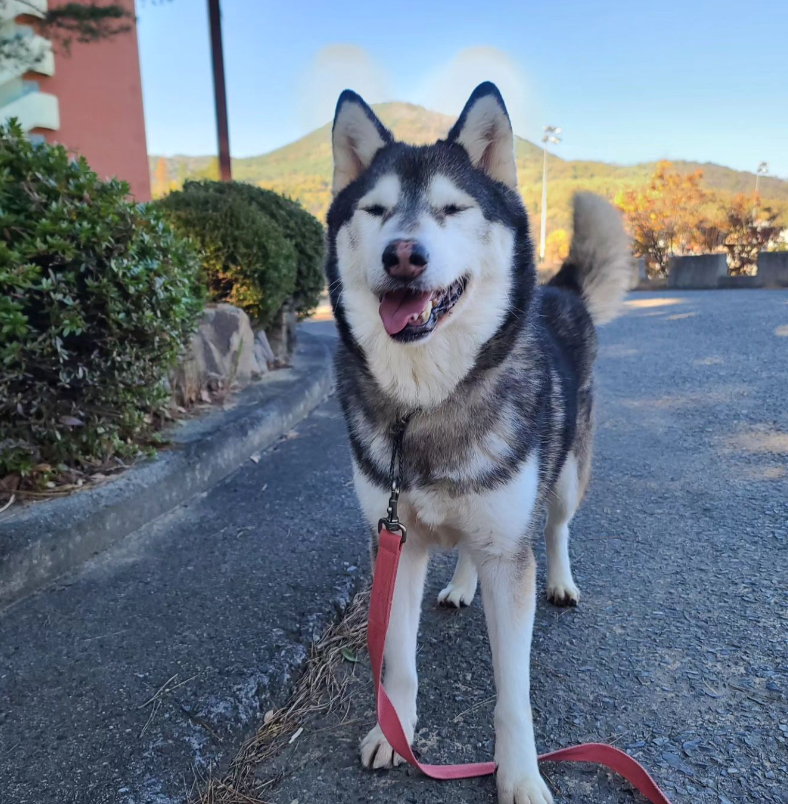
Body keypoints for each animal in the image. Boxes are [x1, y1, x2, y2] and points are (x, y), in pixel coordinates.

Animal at [324, 83, 628, 804]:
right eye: (376, 209)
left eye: (453, 208)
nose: (403, 254)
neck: (426, 402)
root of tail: (561, 290)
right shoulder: (396, 543)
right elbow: (398, 662)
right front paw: (394, 732)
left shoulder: (509, 553)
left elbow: (512, 691)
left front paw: (519, 774)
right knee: (466, 547)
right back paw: (462, 585)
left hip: (565, 474)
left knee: (557, 525)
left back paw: (562, 579)